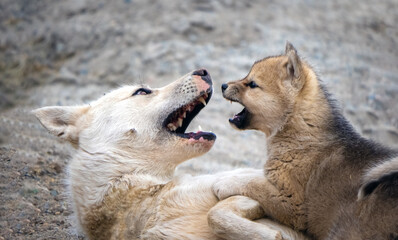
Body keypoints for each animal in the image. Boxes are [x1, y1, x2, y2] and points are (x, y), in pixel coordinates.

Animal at [213, 42, 398, 239]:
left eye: (253, 84)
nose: (223, 85)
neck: (302, 133)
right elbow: (252, 177)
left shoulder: (292, 203)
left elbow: (254, 184)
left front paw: (224, 183)